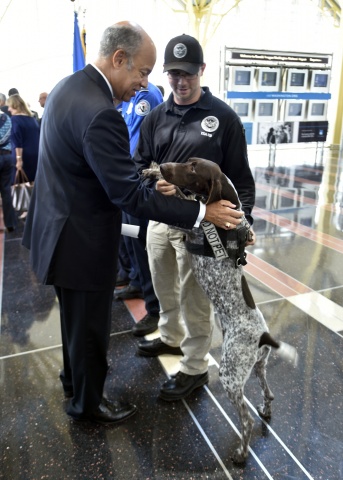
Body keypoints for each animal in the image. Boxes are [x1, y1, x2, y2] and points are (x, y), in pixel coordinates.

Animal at [155, 158, 300, 464]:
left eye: (194, 168)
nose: (163, 166)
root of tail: (264, 336)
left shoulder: (194, 227)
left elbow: (184, 203)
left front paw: (156, 178)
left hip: (230, 376)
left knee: (246, 420)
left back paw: (241, 454)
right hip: (258, 366)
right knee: (269, 393)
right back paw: (266, 410)